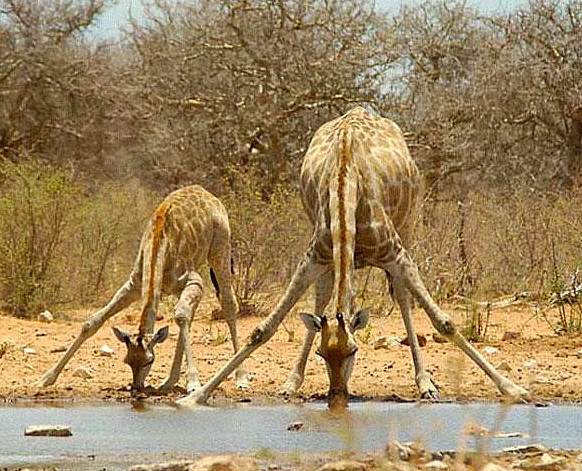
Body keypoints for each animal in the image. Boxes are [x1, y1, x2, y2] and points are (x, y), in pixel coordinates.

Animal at [38, 184, 249, 394]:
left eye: (150, 361)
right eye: (127, 361)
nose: (137, 388)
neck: (158, 249)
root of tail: (207, 193)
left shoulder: (193, 280)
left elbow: (181, 316)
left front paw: (194, 383)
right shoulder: (134, 285)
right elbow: (92, 321)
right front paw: (46, 378)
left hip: (220, 247)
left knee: (228, 305)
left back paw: (241, 378)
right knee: (190, 316)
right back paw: (169, 381)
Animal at [180, 107, 532, 410]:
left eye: (354, 350)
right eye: (322, 353)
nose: (337, 396)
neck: (346, 184)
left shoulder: (396, 253)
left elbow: (444, 321)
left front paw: (514, 389)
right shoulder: (314, 255)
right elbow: (263, 329)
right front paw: (195, 397)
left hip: (408, 226)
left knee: (403, 298)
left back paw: (425, 384)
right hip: (330, 257)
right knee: (324, 297)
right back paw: (292, 382)